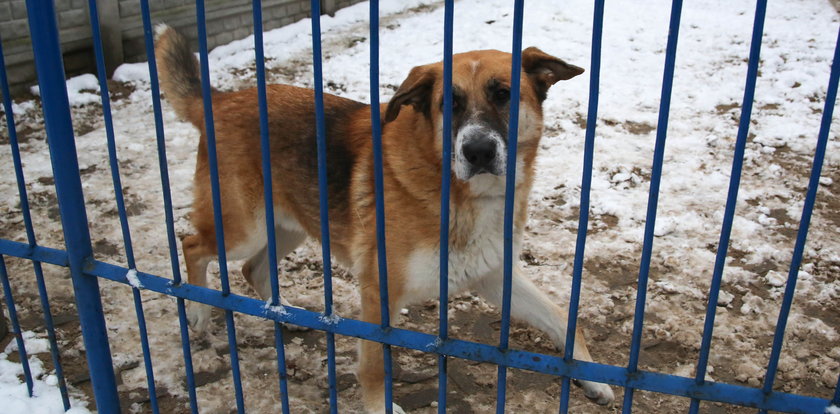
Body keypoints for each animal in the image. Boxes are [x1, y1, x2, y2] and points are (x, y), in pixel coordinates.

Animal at [156, 25, 612, 410]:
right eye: (449, 103)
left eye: (503, 94)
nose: (478, 151)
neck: (459, 192)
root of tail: (222, 99)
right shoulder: (380, 294)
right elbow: (376, 366)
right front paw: (381, 407)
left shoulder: (496, 275)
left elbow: (561, 318)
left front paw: (591, 377)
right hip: (244, 228)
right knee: (193, 245)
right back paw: (198, 313)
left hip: (291, 225)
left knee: (253, 269)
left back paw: (285, 314)